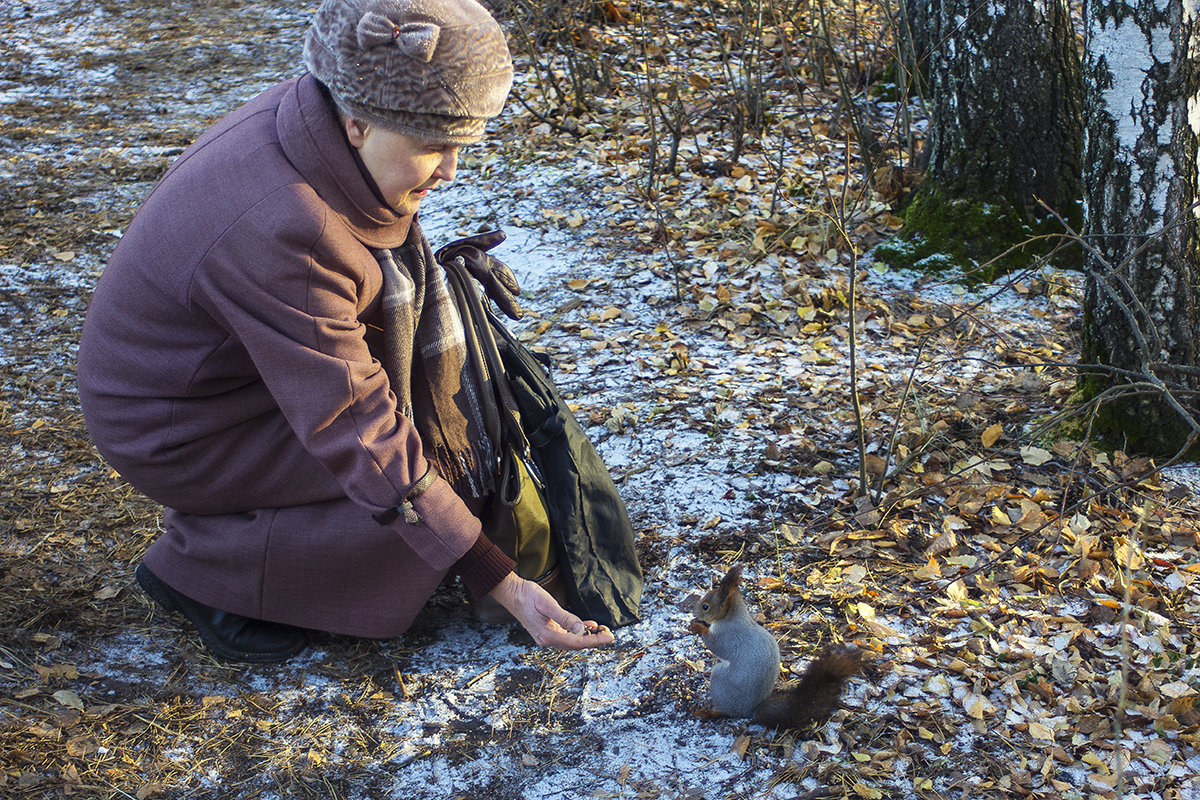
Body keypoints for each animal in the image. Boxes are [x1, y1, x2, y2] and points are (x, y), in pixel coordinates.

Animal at [686, 563, 864, 734]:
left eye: (705, 606)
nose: (693, 611)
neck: (732, 617)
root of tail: (750, 711)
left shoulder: (728, 636)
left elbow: (716, 645)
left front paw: (697, 627)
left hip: (721, 682)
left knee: (728, 711)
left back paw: (711, 712)